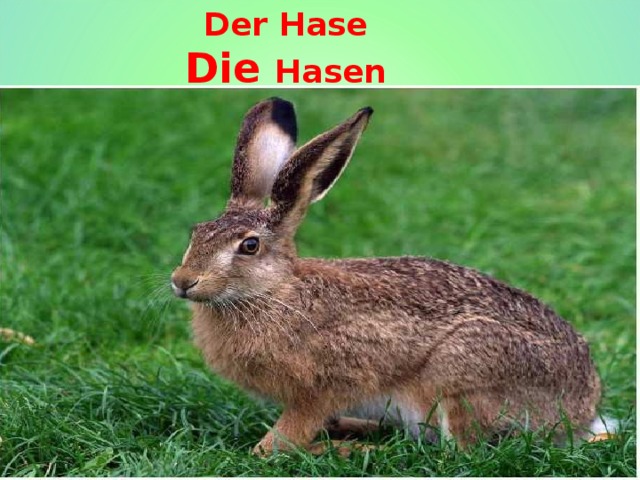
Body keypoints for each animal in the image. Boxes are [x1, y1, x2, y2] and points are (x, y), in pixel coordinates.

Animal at [170, 97, 608, 456]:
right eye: (196, 231)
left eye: (249, 246)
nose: (183, 281)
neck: (274, 291)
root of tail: (582, 409)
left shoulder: (322, 388)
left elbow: (278, 442)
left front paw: (283, 447)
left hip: (461, 375)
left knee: (458, 452)